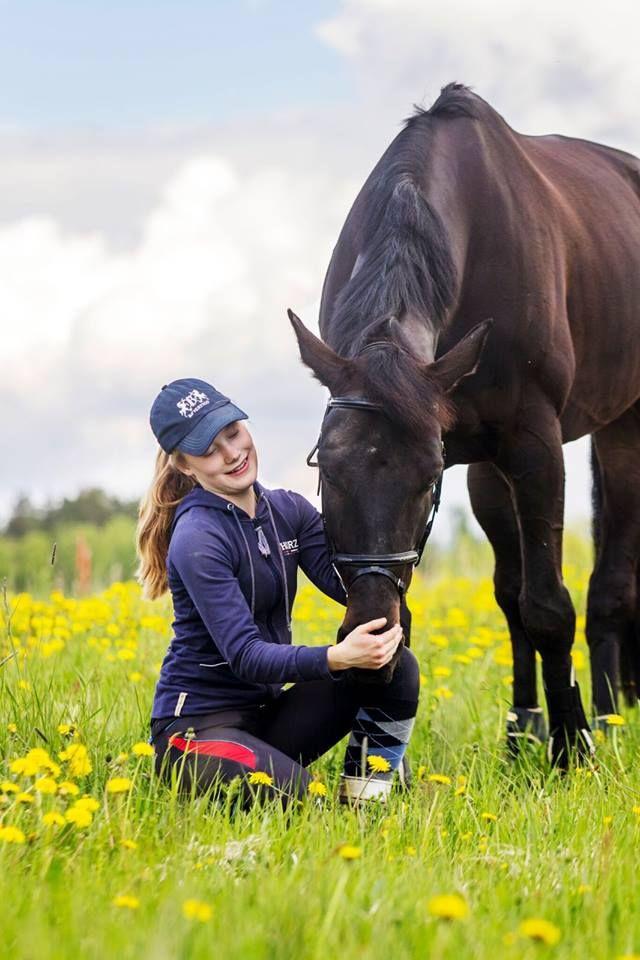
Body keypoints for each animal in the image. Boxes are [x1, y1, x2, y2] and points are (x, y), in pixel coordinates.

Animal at [290, 86, 640, 768]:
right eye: (328, 471)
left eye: (428, 481)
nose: (365, 641)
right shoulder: (473, 451)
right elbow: (486, 603)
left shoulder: (534, 444)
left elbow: (548, 605)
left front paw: (572, 749)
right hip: (488, 467)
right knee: (510, 591)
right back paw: (522, 731)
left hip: (623, 429)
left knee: (608, 586)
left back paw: (609, 723)